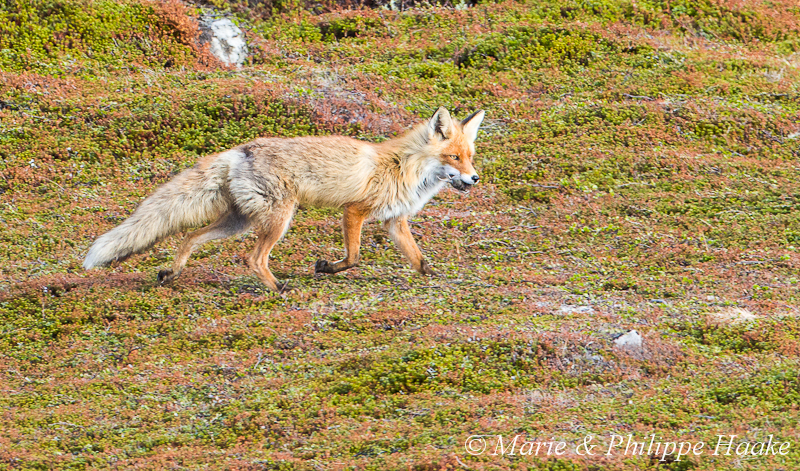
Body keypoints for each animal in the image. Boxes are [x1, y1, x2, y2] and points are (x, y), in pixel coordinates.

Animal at [83, 107, 485, 291]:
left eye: (470, 156)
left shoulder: (395, 221)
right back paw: (278, 288)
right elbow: (354, 258)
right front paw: (326, 268)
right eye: (454, 157)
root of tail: (239, 150)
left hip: (237, 222)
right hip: (279, 219)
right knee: (253, 258)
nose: (474, 178)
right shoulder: (353, 211)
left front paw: (435, 279)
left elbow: (419, 260)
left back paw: (172, 272)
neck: (406, 167)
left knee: (189, 237)